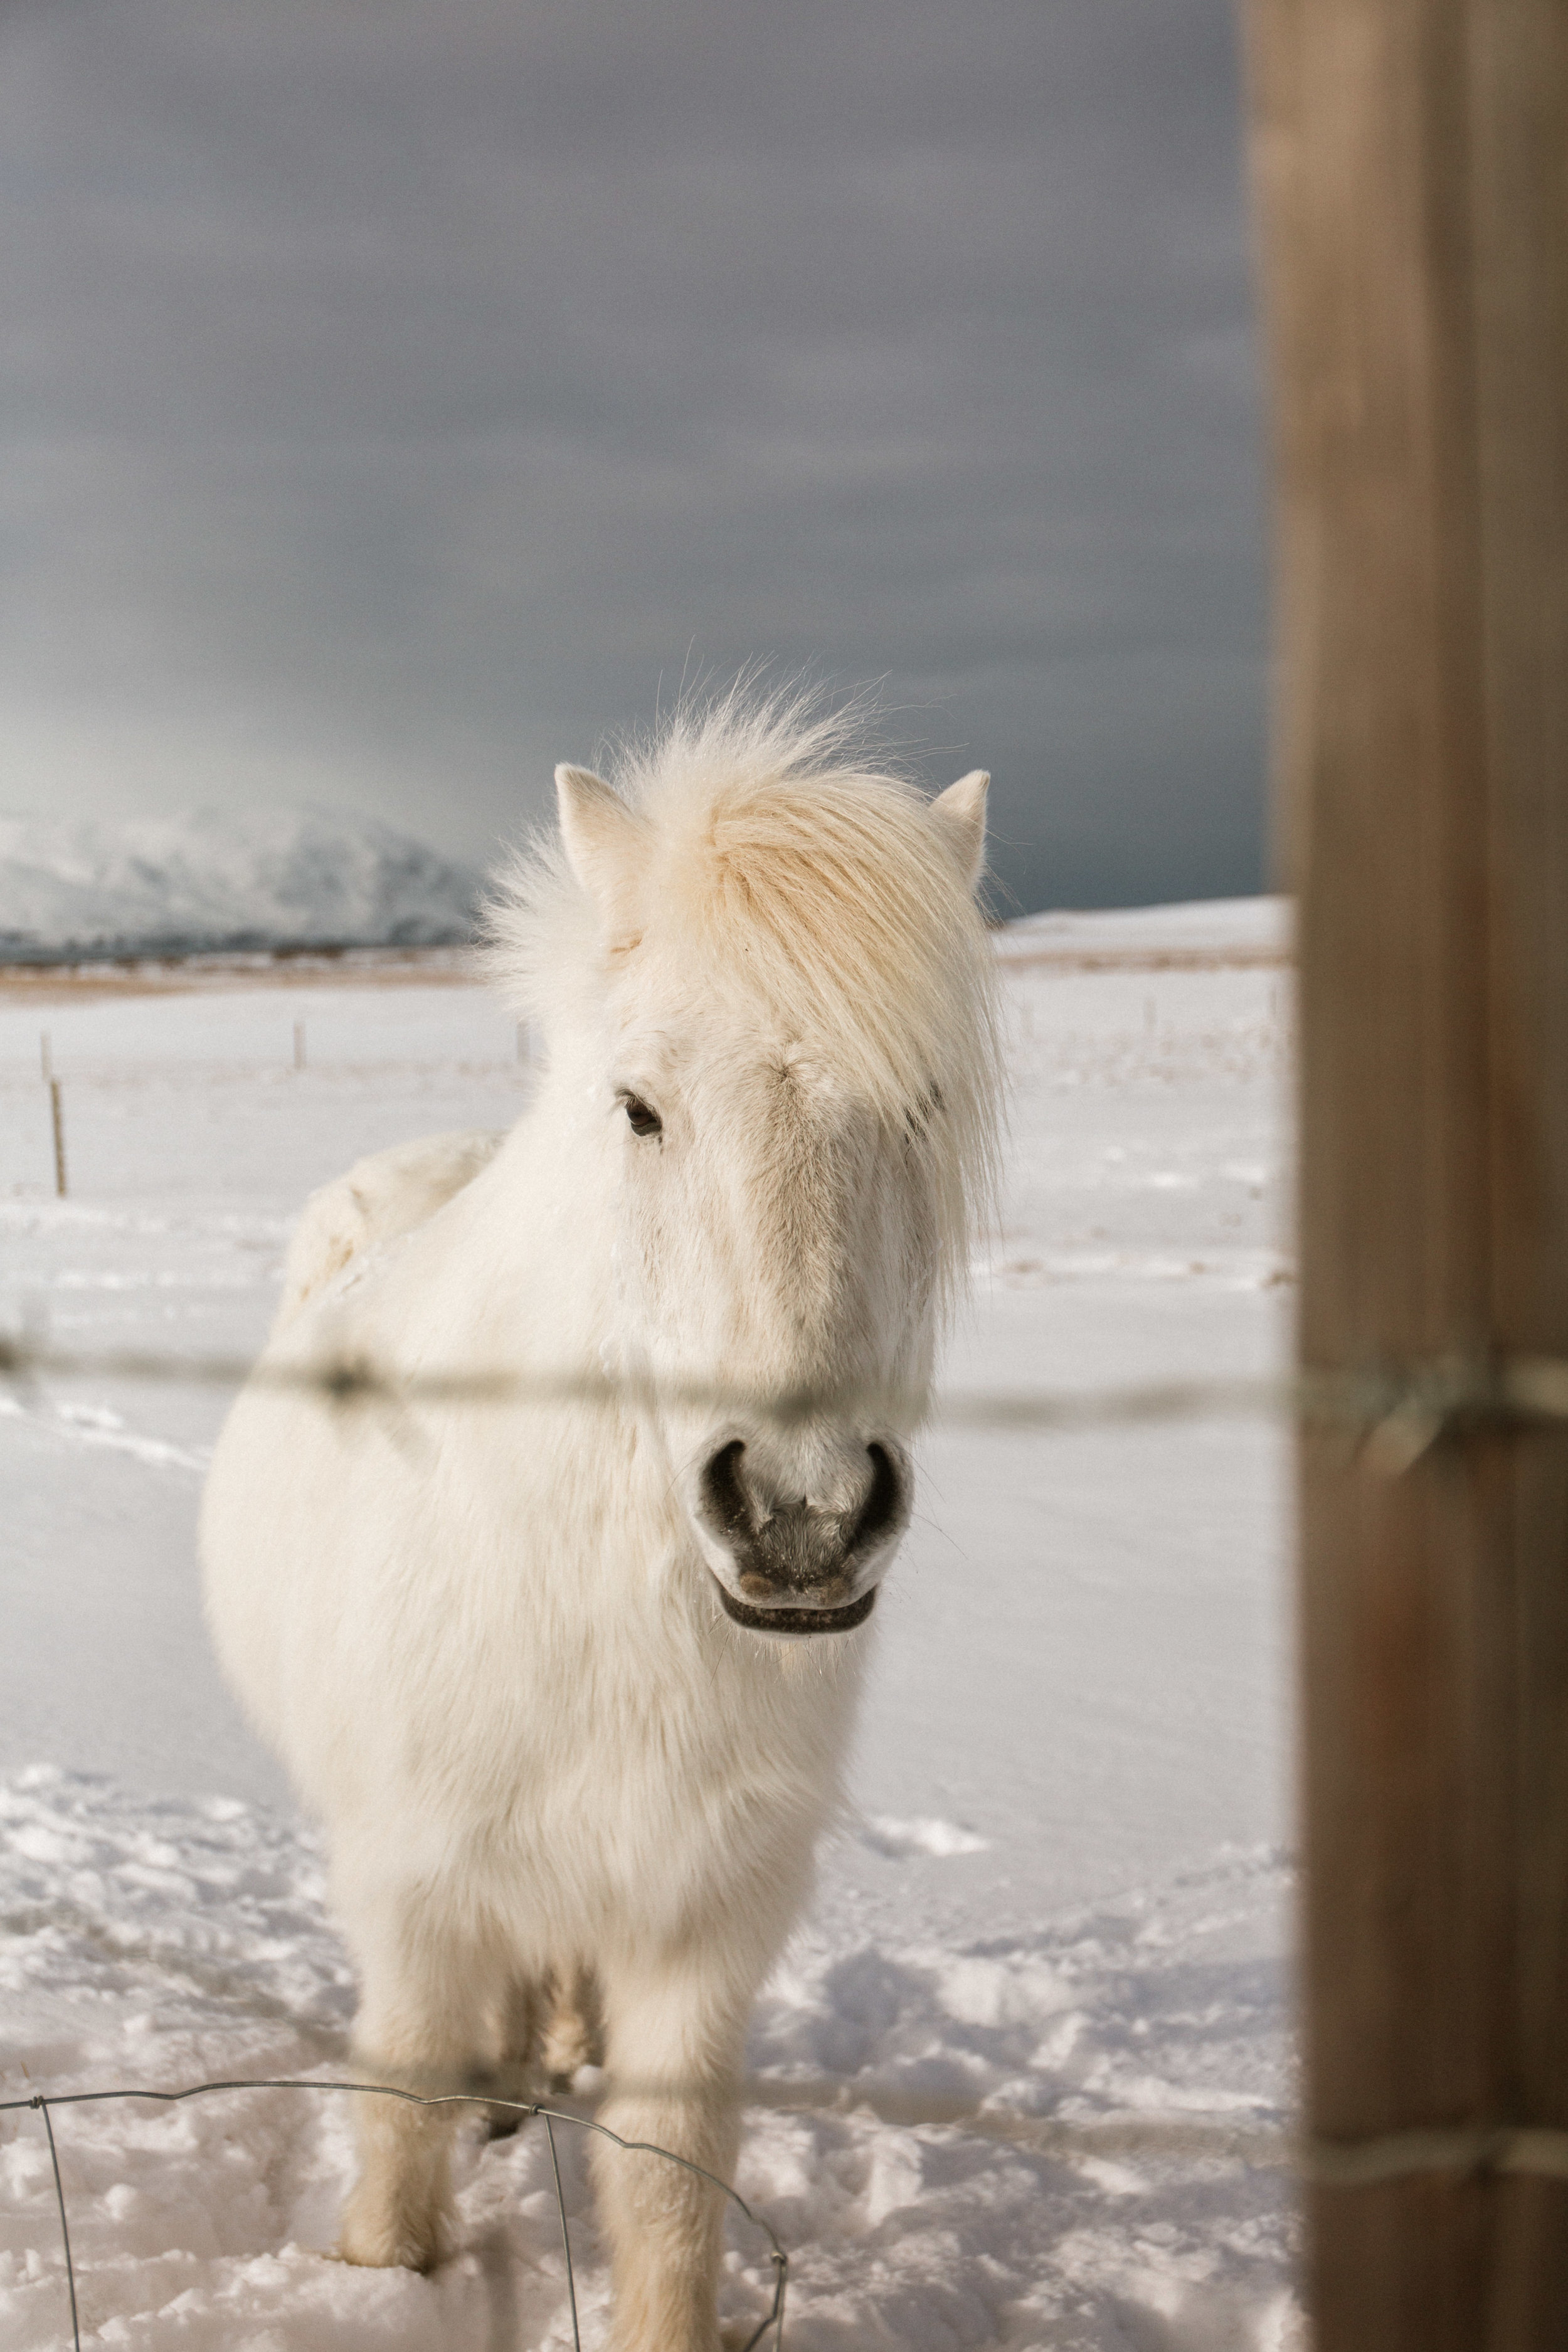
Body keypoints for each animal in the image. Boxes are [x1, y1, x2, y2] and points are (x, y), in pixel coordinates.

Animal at [202, 701, 1001, 2352]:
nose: (802, 1514)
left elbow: (670, 2189)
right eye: (638, 1106)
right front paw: (386, 2275)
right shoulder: (412, 1893)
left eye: (925, 1104)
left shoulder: (707, 1919)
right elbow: (399, 2132)